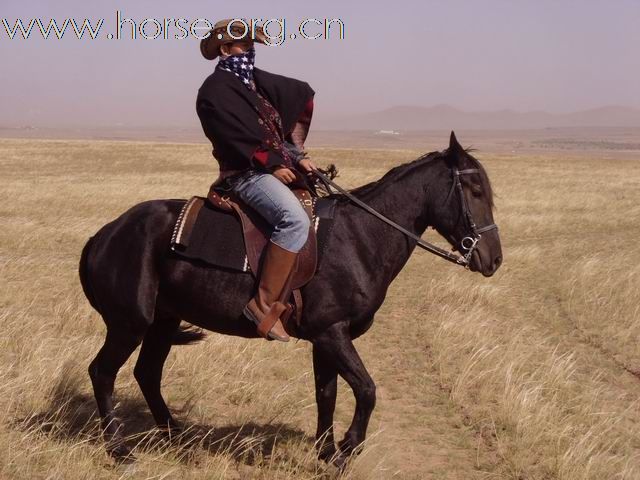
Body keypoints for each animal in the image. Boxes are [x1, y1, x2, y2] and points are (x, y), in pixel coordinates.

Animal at [79, 131, 500, 464]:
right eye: (476, 191)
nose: (493, 258)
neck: (359, 237)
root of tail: (105, 234)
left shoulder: (326, 338)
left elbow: (326, 393)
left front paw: (326, 452)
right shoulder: (332, 333)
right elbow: (366, 391)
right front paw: (346, 449)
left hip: (163, 322)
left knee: (147, 373)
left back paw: (176, 437)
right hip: (129, 324)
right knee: (103, 372)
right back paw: (119, 450)